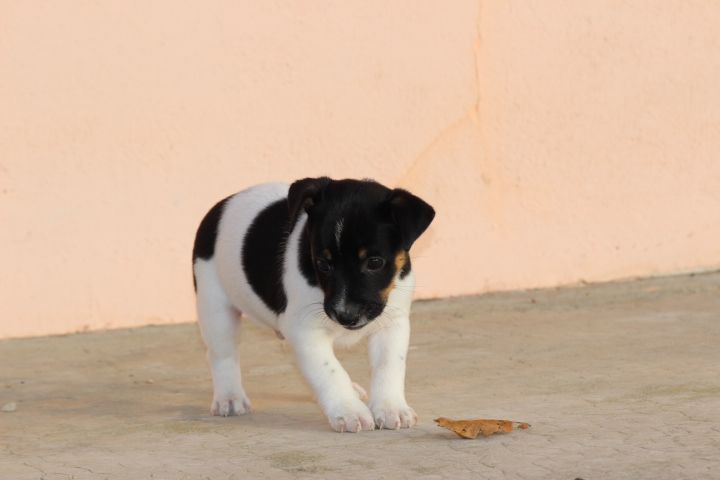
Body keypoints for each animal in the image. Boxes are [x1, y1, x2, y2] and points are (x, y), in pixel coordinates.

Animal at [192, 177, 435, 432]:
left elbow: (388, 366)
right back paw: (229, 397)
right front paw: (349, 411)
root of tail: (221, 205)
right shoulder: (304, 331)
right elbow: (329, 371)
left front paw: (391, 408)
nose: (344, 315)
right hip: (215, 307)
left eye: (375, 262)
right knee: (222, 354)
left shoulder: (393, 324)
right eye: (322, 264)